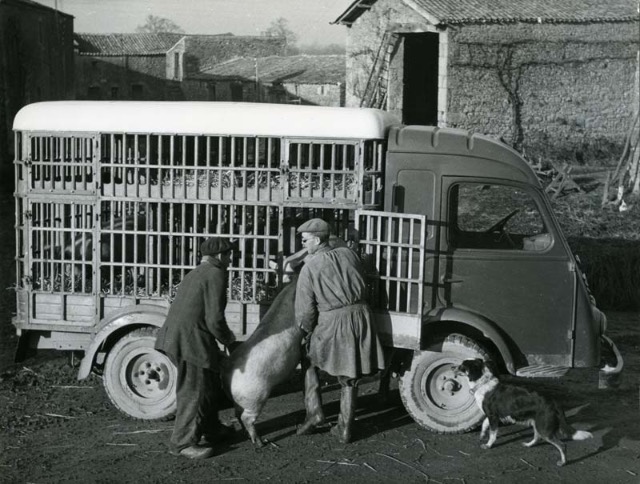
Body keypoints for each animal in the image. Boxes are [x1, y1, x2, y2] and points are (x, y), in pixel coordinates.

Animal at [221, 276, 304, 446]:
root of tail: (227, 374)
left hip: (242, 400)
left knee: (238, 414)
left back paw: (250, 437)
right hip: (256, 396)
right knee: (246, 418)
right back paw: (260, 442)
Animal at [452, 360, 592, 466]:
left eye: (462, 366)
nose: (452, 367)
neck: (483, 383)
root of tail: (554, 402)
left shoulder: (493, 416)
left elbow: (492, 434)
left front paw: (488, 445)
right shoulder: (492, 416)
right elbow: (484, 425)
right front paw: (481, 436)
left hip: (544, 429)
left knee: (562, 445)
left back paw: (562, 462)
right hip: (537, 424)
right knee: (537, 437)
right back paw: (529, 444)